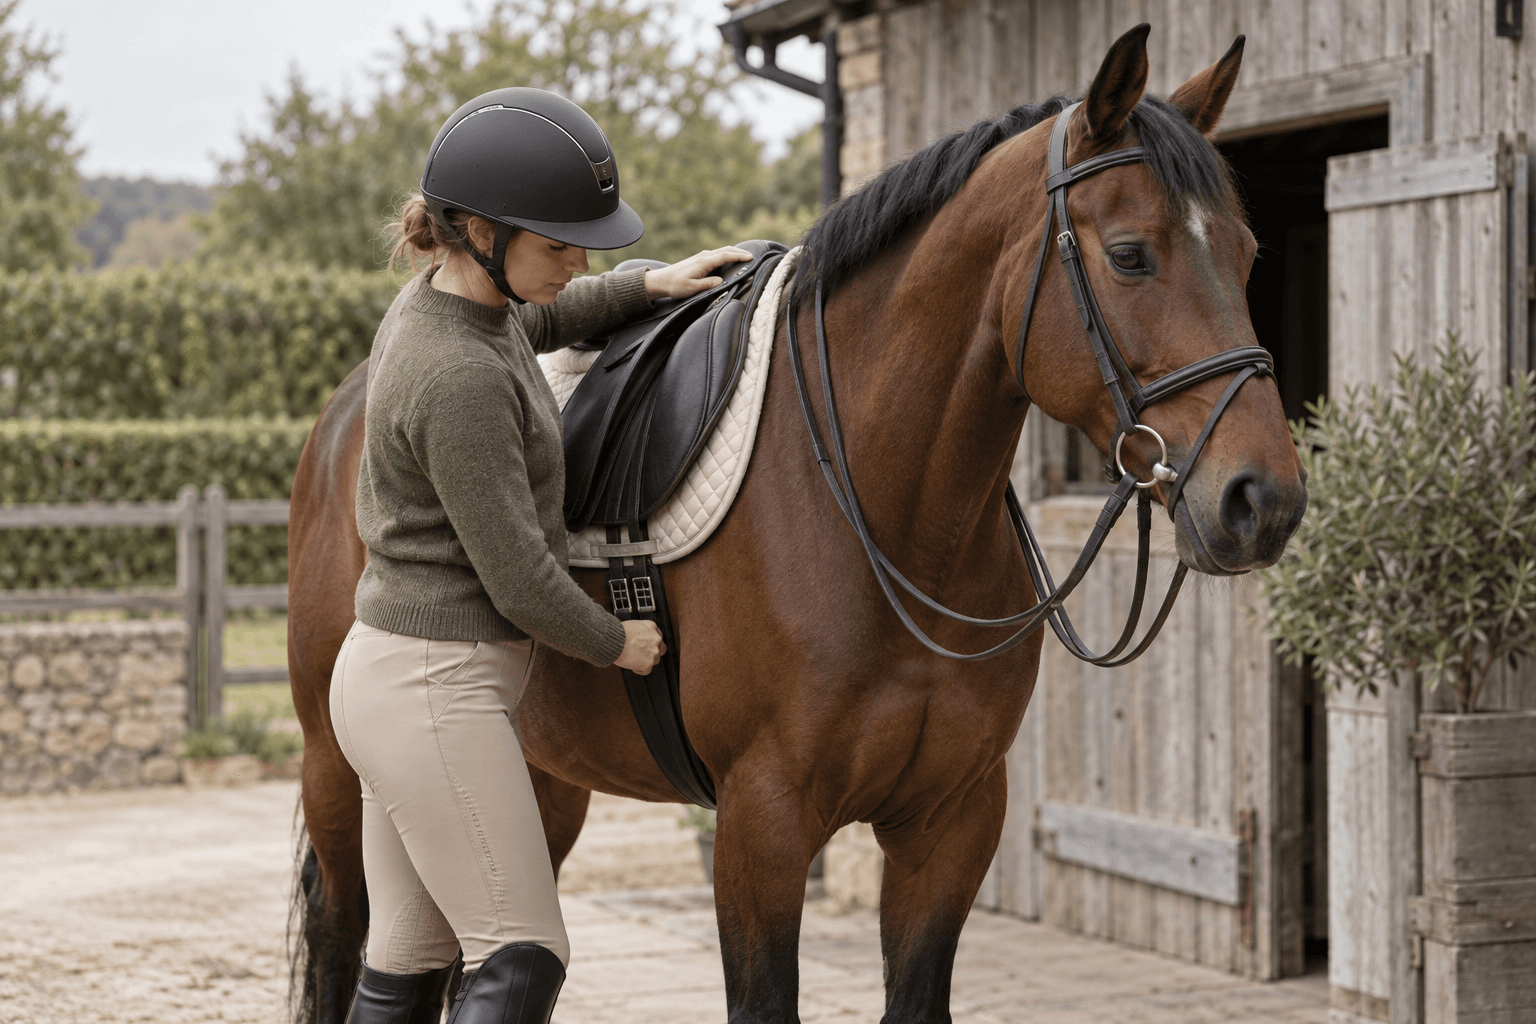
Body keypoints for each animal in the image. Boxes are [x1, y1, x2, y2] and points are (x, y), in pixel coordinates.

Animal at [286, 25, 1305, 1024]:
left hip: (540, 781)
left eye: (1248, 254)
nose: (1263, 500)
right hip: (345, 771)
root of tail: (352, 404)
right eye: (1131, 254)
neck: (886, 525)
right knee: (348, 942)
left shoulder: (952, 821)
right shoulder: (762, 828)